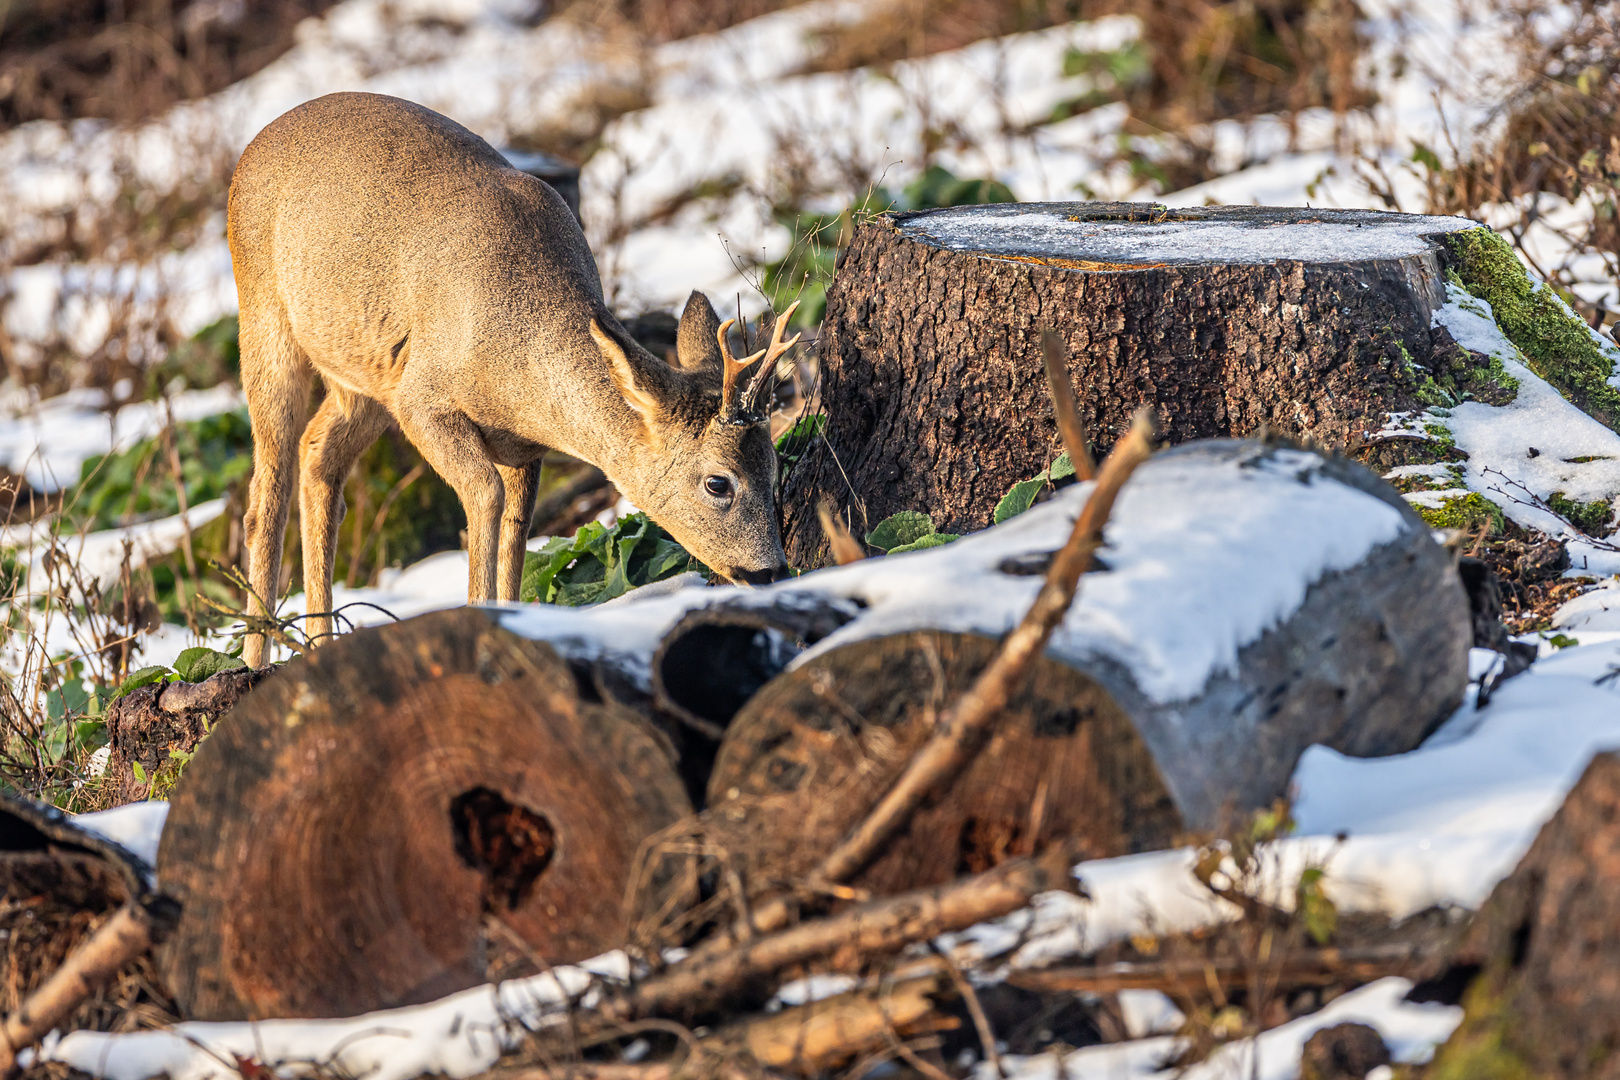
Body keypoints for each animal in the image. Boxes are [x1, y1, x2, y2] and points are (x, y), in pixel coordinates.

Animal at [231, 93, 793, 667]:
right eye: (718, 482)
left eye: (775, 466)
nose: (771, 571)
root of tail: (257, 142)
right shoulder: (420, 398)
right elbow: (486, 495)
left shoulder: (522, 447)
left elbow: (517, 530)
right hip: (264, 318)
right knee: (266, 490)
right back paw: (255, 655)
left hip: (361, 376)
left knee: (318, 456)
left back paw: (320, 641)